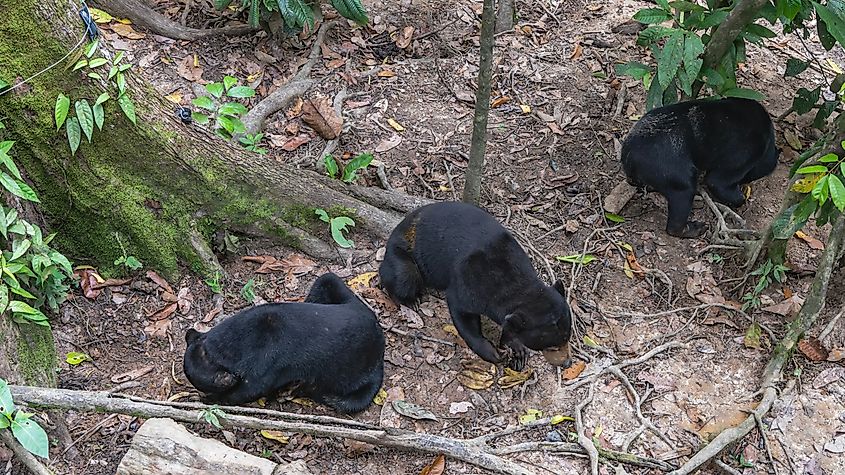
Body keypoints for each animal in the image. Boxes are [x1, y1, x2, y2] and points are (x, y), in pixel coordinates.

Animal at [379, 201, 572, 371]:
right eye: (551, 347)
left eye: (567, 338)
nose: (567, 362)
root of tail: (397, 228)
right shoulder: (469, 284)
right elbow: (462, 315)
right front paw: (492, 352)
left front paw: (517, 351)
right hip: (404, 254)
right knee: (404, 275)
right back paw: (409, 301)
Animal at [621, 97, 779, 238]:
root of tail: (629, 153)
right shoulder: (743, 157)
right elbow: (718, 183)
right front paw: (741, 198)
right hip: (677, 177)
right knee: (678, 215)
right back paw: (696, 228)